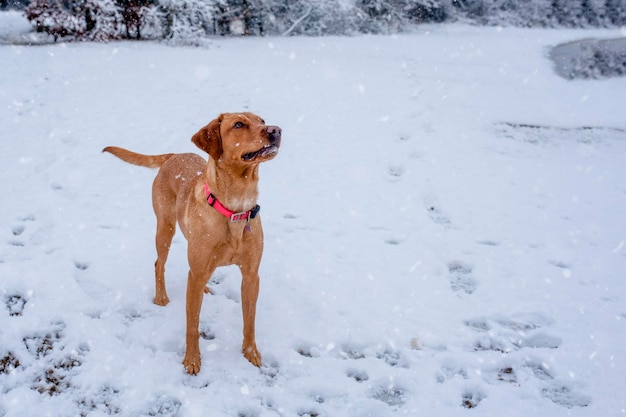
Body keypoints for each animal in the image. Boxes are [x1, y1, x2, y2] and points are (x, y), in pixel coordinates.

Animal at [103, 111, 280, 374]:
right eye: (239, 124)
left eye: (262, 120)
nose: (276, 130)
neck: (235, 208)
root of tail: (173, 155)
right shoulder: (196, 274)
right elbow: (192, 325)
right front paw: (192, 360)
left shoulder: (251, 275)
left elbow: (249, 320)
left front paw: (251, 353)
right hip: (165, 228)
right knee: (159, 264)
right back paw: (161, 297)